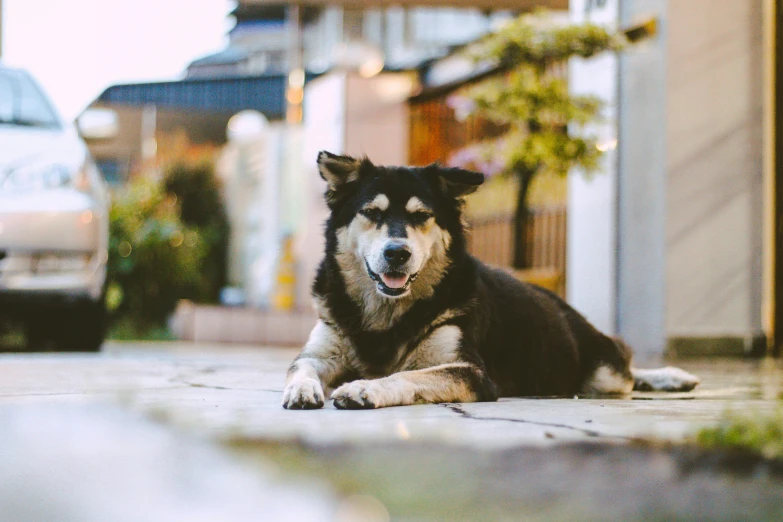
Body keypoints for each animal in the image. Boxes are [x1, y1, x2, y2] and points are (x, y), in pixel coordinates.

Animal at [284, 152, 704, 408]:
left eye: (422, 216)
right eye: (372, 212)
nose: (396, 253)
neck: (387, 313)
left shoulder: (472, 372)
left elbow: (408, 373)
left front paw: (365, 387)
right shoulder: (320, 351)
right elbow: (300, 367)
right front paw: (302, 388)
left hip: (604, 375)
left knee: (628, 371)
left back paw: (667, 376)